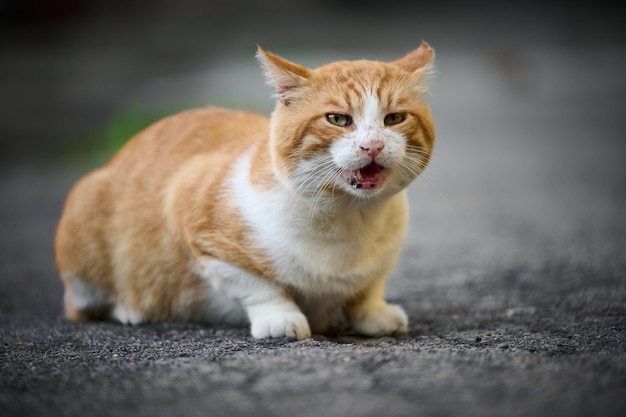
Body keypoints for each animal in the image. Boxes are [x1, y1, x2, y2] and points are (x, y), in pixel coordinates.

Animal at [54, 42, 434, 340]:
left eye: (394, 118)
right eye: (338, 119)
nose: (373, 145)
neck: (350, 219)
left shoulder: (381, 260)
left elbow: (367, 288)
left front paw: (373, 313)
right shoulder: (195, 221)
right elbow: (258, 287)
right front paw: (281, 318)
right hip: (85, 223)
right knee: (81, 306)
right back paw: (128, 310)